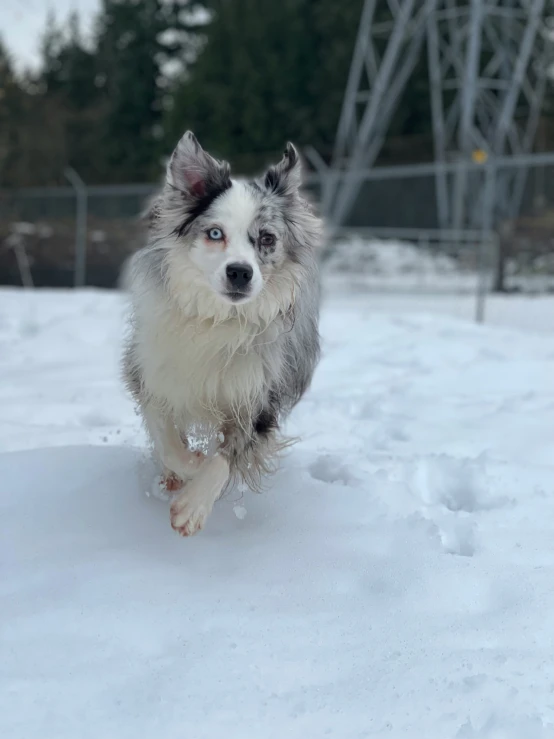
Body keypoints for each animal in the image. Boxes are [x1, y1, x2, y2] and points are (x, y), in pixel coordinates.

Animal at [121, 132, 320, 536]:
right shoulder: (153, 373)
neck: (219, 319)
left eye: (266, 238)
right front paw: (188, 466)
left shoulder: (259, 399)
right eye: (215, 233)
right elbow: (168, 439)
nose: (240, 272)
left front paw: (193, 505)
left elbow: (226, 458)